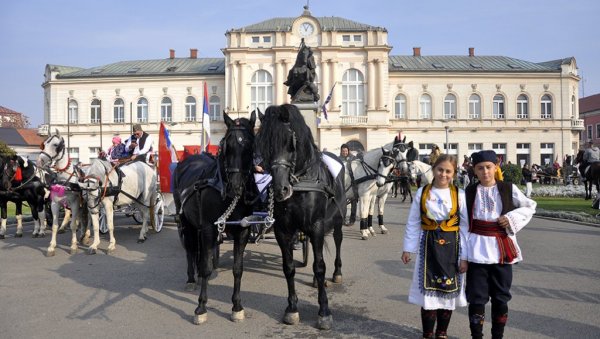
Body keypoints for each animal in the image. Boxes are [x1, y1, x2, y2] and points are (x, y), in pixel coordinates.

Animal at [173, 111, 258, 324]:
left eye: (250, 146)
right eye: (227, 145)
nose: (235, 186)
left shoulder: (242, 230)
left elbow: (238, 268)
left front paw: (237, 306)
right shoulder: (208, 228)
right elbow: (205, 267)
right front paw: (201, 307)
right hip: (186, 223)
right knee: (190, 249)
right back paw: (191, 278)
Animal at [254, 103, 346, 330]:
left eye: (290, 142)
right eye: (264, 144)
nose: (281, 190)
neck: (300, 183)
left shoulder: (317, 225)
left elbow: (320, 266)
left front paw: (324, 311)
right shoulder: (283, 230)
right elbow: (288, 268)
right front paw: (292, 309)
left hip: (337, 219)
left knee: (337, 241)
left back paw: (337, 273)